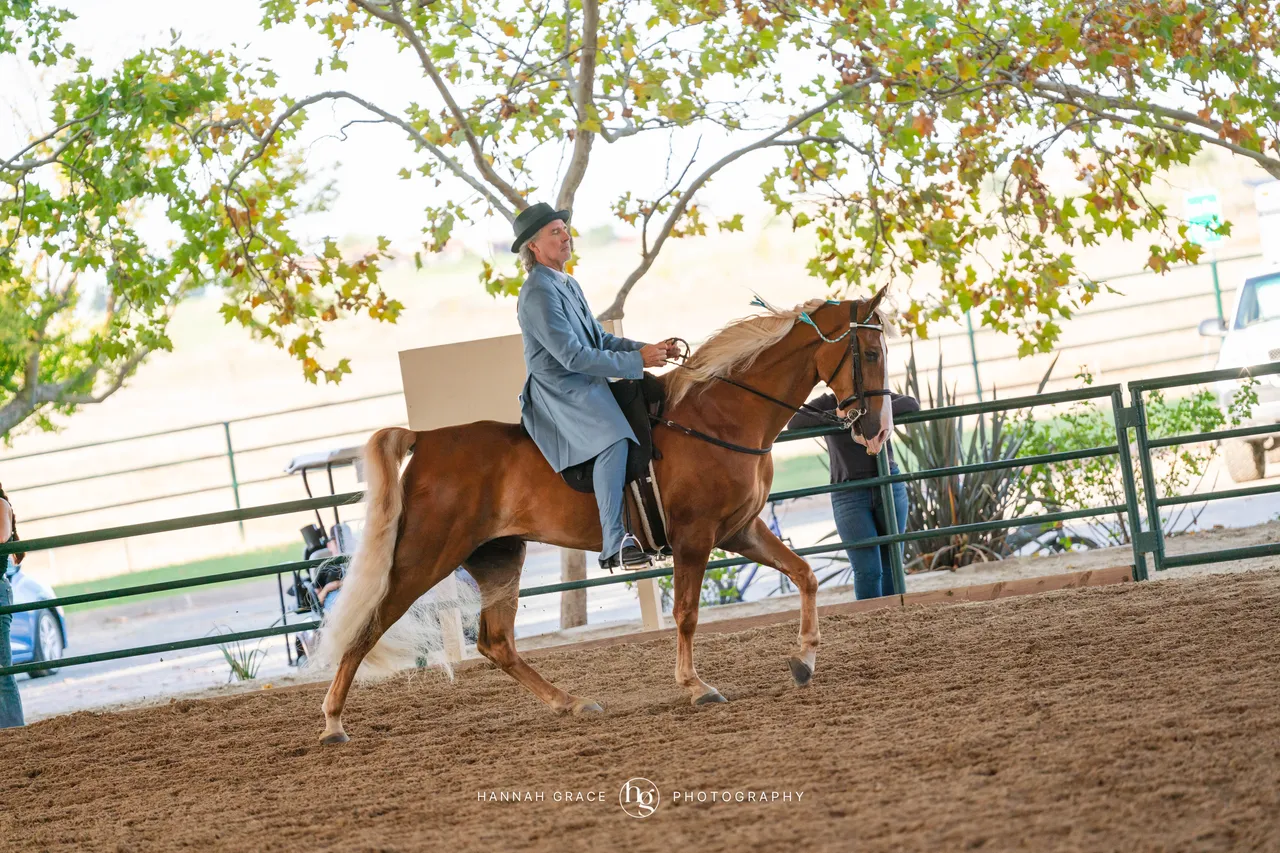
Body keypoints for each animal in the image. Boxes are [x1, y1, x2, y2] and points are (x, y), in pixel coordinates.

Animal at [316, 289, 895, 744]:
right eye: (869, 350)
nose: (875, 428)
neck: (720, 415)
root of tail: (428, 439)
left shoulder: (739, 530)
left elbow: (805, 574)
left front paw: (805, 660)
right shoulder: (696, 538)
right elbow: (687, 614)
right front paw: (696, 687)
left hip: (499, 558)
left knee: (496, 642)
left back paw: (571, 703)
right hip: (424, 557)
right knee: (369, 625)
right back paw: (332, 723)